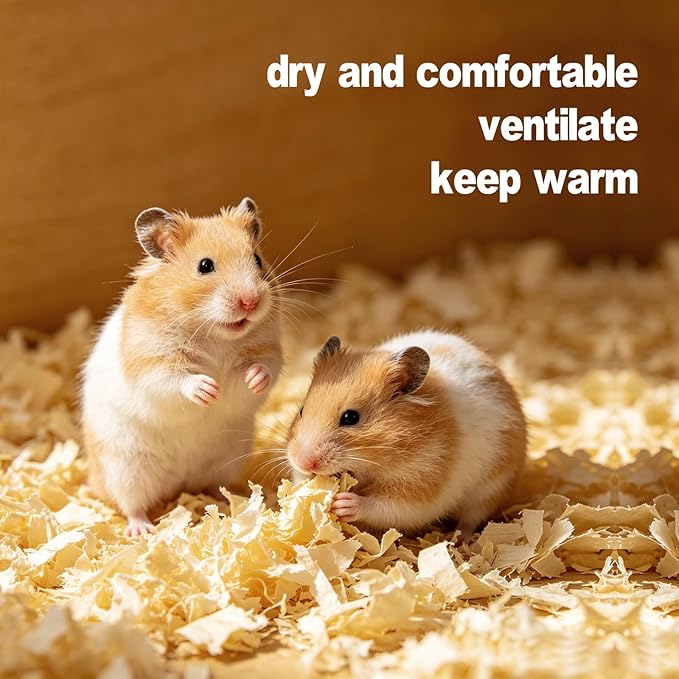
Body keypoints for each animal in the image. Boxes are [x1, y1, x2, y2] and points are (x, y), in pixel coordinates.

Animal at [82, 198, 282, 536]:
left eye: (257, 259)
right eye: (205, 266)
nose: (251, 302)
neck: (214, 333)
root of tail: (178, 485)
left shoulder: (269, 349)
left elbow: (264, 368)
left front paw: (253, 378)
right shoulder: (151, 360)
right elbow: (173, 380)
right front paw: (207, 389)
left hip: (227, 458)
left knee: (213, 486)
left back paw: (230, 502)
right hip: (126, 468)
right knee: (131, 504)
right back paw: (142, 530)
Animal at [286, 330, 526, 539]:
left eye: (350, 418)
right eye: (302, 411)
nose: (304, 463)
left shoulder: (424, 482)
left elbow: (390, 506)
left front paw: (344, 503)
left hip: (490, 488)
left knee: (472, 518)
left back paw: (458, 538)